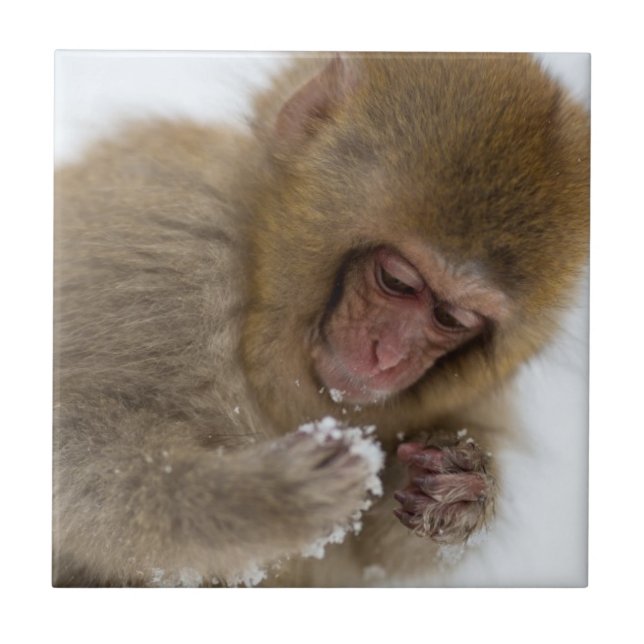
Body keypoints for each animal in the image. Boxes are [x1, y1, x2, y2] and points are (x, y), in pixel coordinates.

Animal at [53, 53, 589, 587]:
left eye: (450, 317)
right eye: (397, 280)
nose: (388, 357)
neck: (258, 290)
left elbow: (372, 558)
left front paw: (461, 490)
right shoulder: (168, 247)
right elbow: (70, 444)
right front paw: (264, 498)